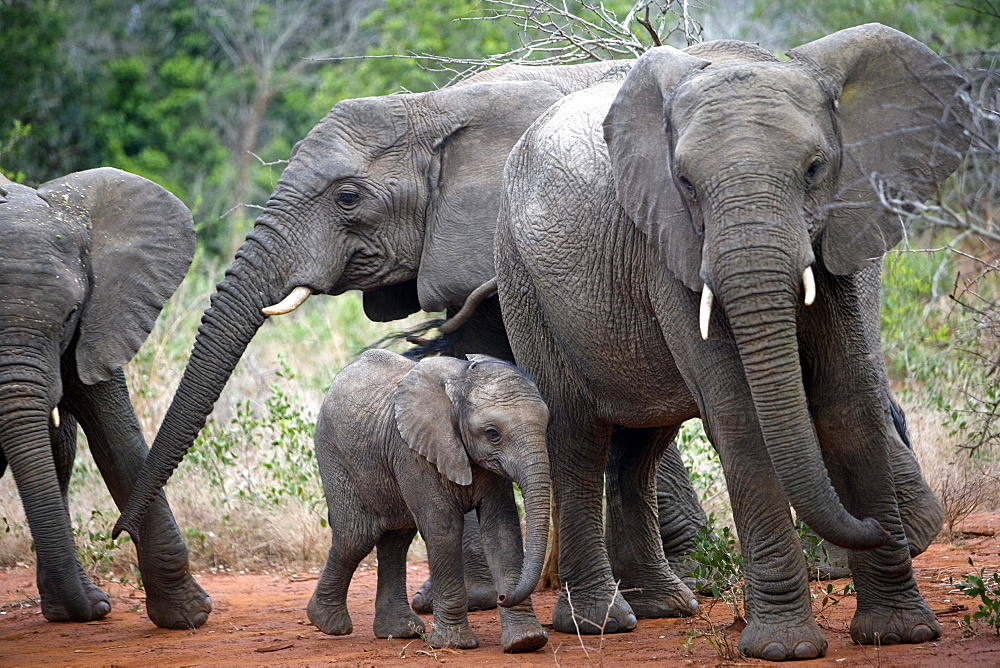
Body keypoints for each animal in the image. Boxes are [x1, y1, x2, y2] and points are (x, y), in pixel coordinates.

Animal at [0, 170, 211, 628]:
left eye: (69, 315)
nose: (116, 532)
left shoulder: (99, 316)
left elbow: (117, 437)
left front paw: (188, 618)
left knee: (60, 451)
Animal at [308, 350, 552, 652]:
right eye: (492, 433)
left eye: (546, 425)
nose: (502, 598)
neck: (460, 383)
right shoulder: (413, 451)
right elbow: (443, 528)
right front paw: (454, 644)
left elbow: (501, 530)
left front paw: (525, 641)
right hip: (334, 453)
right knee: (356, 536)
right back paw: (328, 624)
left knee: (396, 538)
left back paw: (400, 631)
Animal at [492, 23, 968, 660]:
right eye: (686, 184)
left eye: (815, 168)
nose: (872, 530)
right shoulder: (669, 245)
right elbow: (741, 418)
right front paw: (784, 649)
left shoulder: (849, 225)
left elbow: (850, 402)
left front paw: (899, 633)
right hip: (522, 279)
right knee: (576, 436)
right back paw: (599, 623)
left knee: (640, 444)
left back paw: (663, 607)